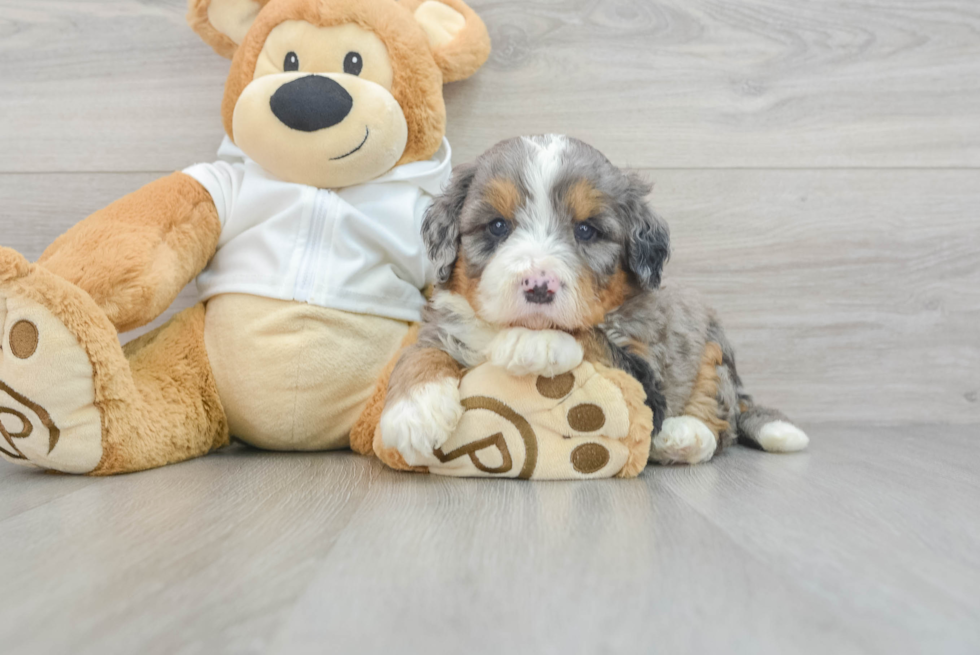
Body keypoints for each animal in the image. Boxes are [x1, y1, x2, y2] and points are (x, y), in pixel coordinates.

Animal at [378, 136, 808, 468]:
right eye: (498, 226)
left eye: (586, 230)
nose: (539, 285)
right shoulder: (446, 322)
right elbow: (420, 351)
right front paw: (413, 412)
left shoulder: (644, 373)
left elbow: (592, 338)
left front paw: (536, 342)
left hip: (710, 349)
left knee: (722, 420)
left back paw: (684, 436)